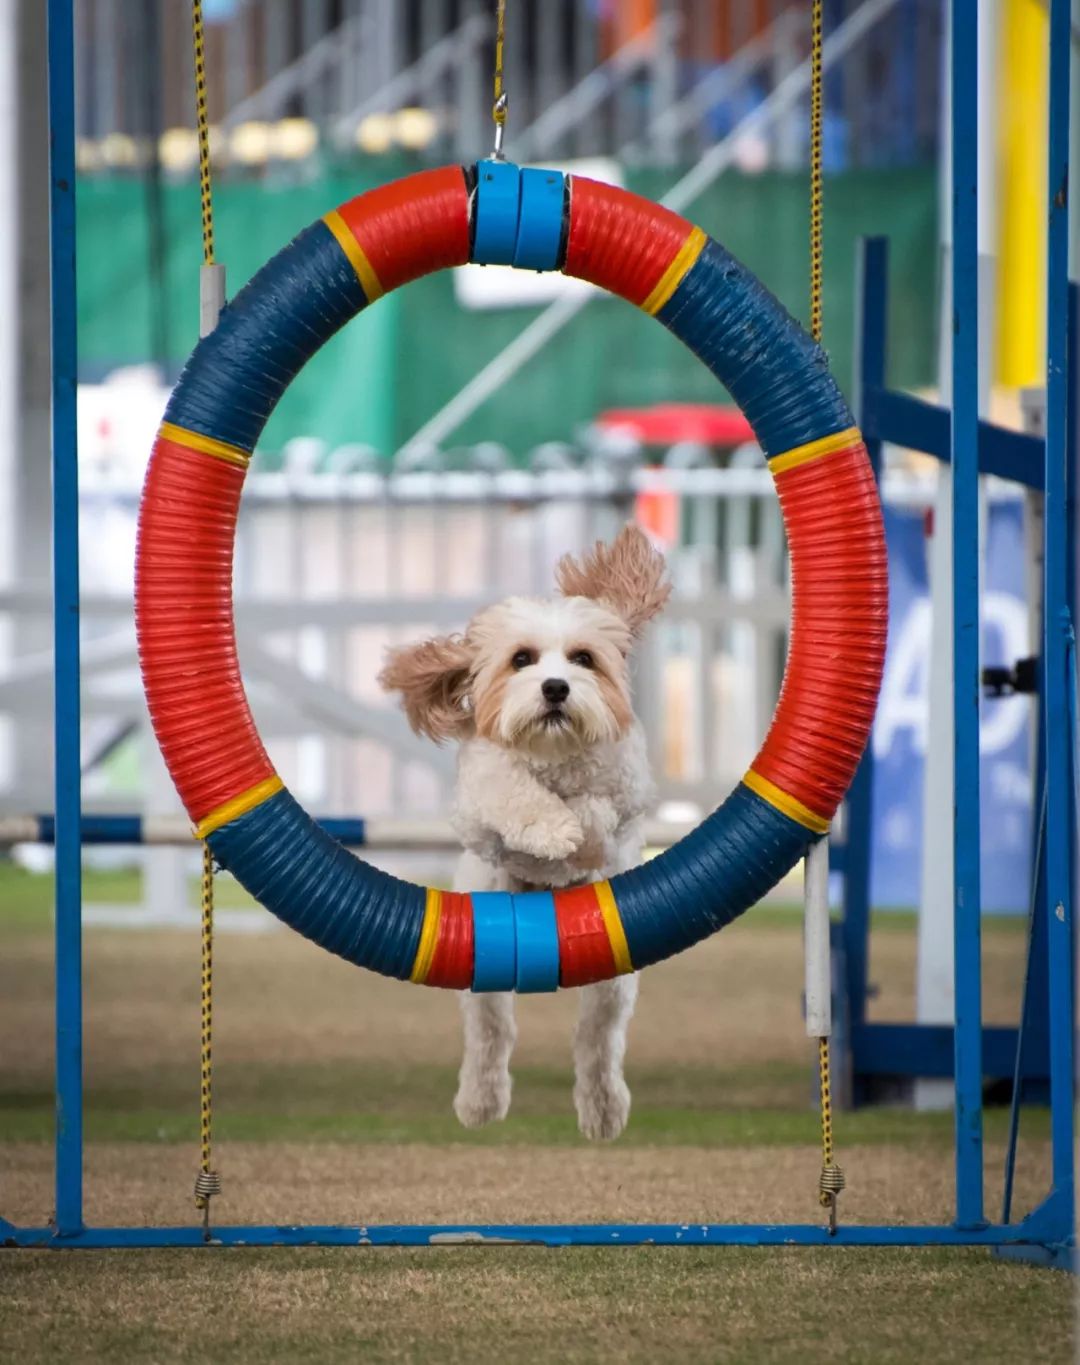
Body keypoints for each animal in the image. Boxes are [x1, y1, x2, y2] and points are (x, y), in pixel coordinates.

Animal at [376, 521, 666, 1141]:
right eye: (521, 659)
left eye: (583, 658)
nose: (555, 687)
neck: (552, 757)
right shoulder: (481, 799)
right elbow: (512, 795)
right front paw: (551, 830)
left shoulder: (623, 789)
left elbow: (598, 812)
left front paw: (573, 832)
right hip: (482, 959)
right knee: (492, 1036)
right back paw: (480, 1102)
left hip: (613, 981)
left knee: (597, 1041)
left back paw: (602, 1109)